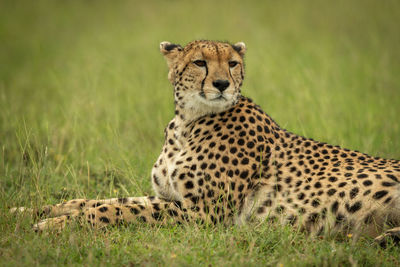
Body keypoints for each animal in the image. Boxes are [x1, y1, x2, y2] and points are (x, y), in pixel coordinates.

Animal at [12, 40, 400, 247]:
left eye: (233, 63)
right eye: (200, 62)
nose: (221, 84)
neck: (187, 123)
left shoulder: (203, 214)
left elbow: (114, 210)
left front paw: (52, 227)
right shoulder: (171, 197)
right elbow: (97, 200)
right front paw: (32, 212)